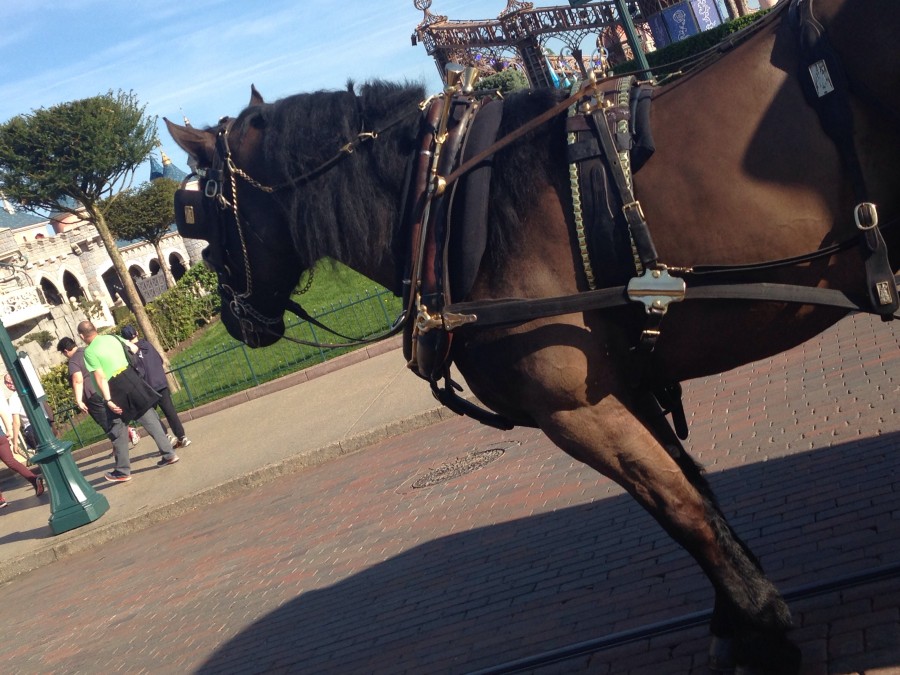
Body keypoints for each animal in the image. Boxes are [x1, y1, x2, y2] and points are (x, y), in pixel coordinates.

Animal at [165, 0, 896, 672]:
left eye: (198, 215)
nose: (228, 316)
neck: (443, 202)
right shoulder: (624, 383)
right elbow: (696, 490)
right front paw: (737, 620)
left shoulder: (575, 410)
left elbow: (680, 507)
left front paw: (764, 629)